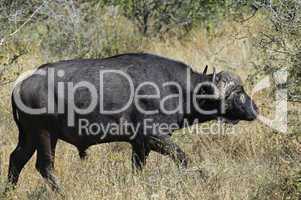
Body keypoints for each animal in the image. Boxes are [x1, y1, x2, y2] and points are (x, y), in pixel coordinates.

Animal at [7, 52, 256, 191]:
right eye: (237, 92)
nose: (255, 109)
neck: (176, 88)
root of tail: (22, 84)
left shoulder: (139, 145)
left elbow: (138, 169)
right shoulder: (154, 137)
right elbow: (183, 157)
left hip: (29, 136)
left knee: (16, 159)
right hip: (44, 134)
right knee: (45, 166)